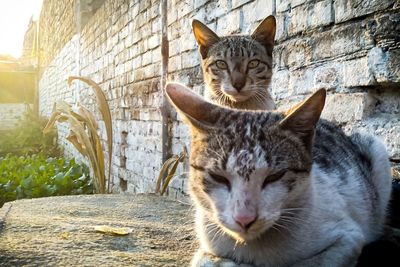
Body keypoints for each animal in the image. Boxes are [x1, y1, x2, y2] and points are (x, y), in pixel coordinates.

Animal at [164, 83, 392, 267]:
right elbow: (205, 260)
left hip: (375, 149)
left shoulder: (348, 239)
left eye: (274, 176)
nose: (244, 219)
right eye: (218, 176)